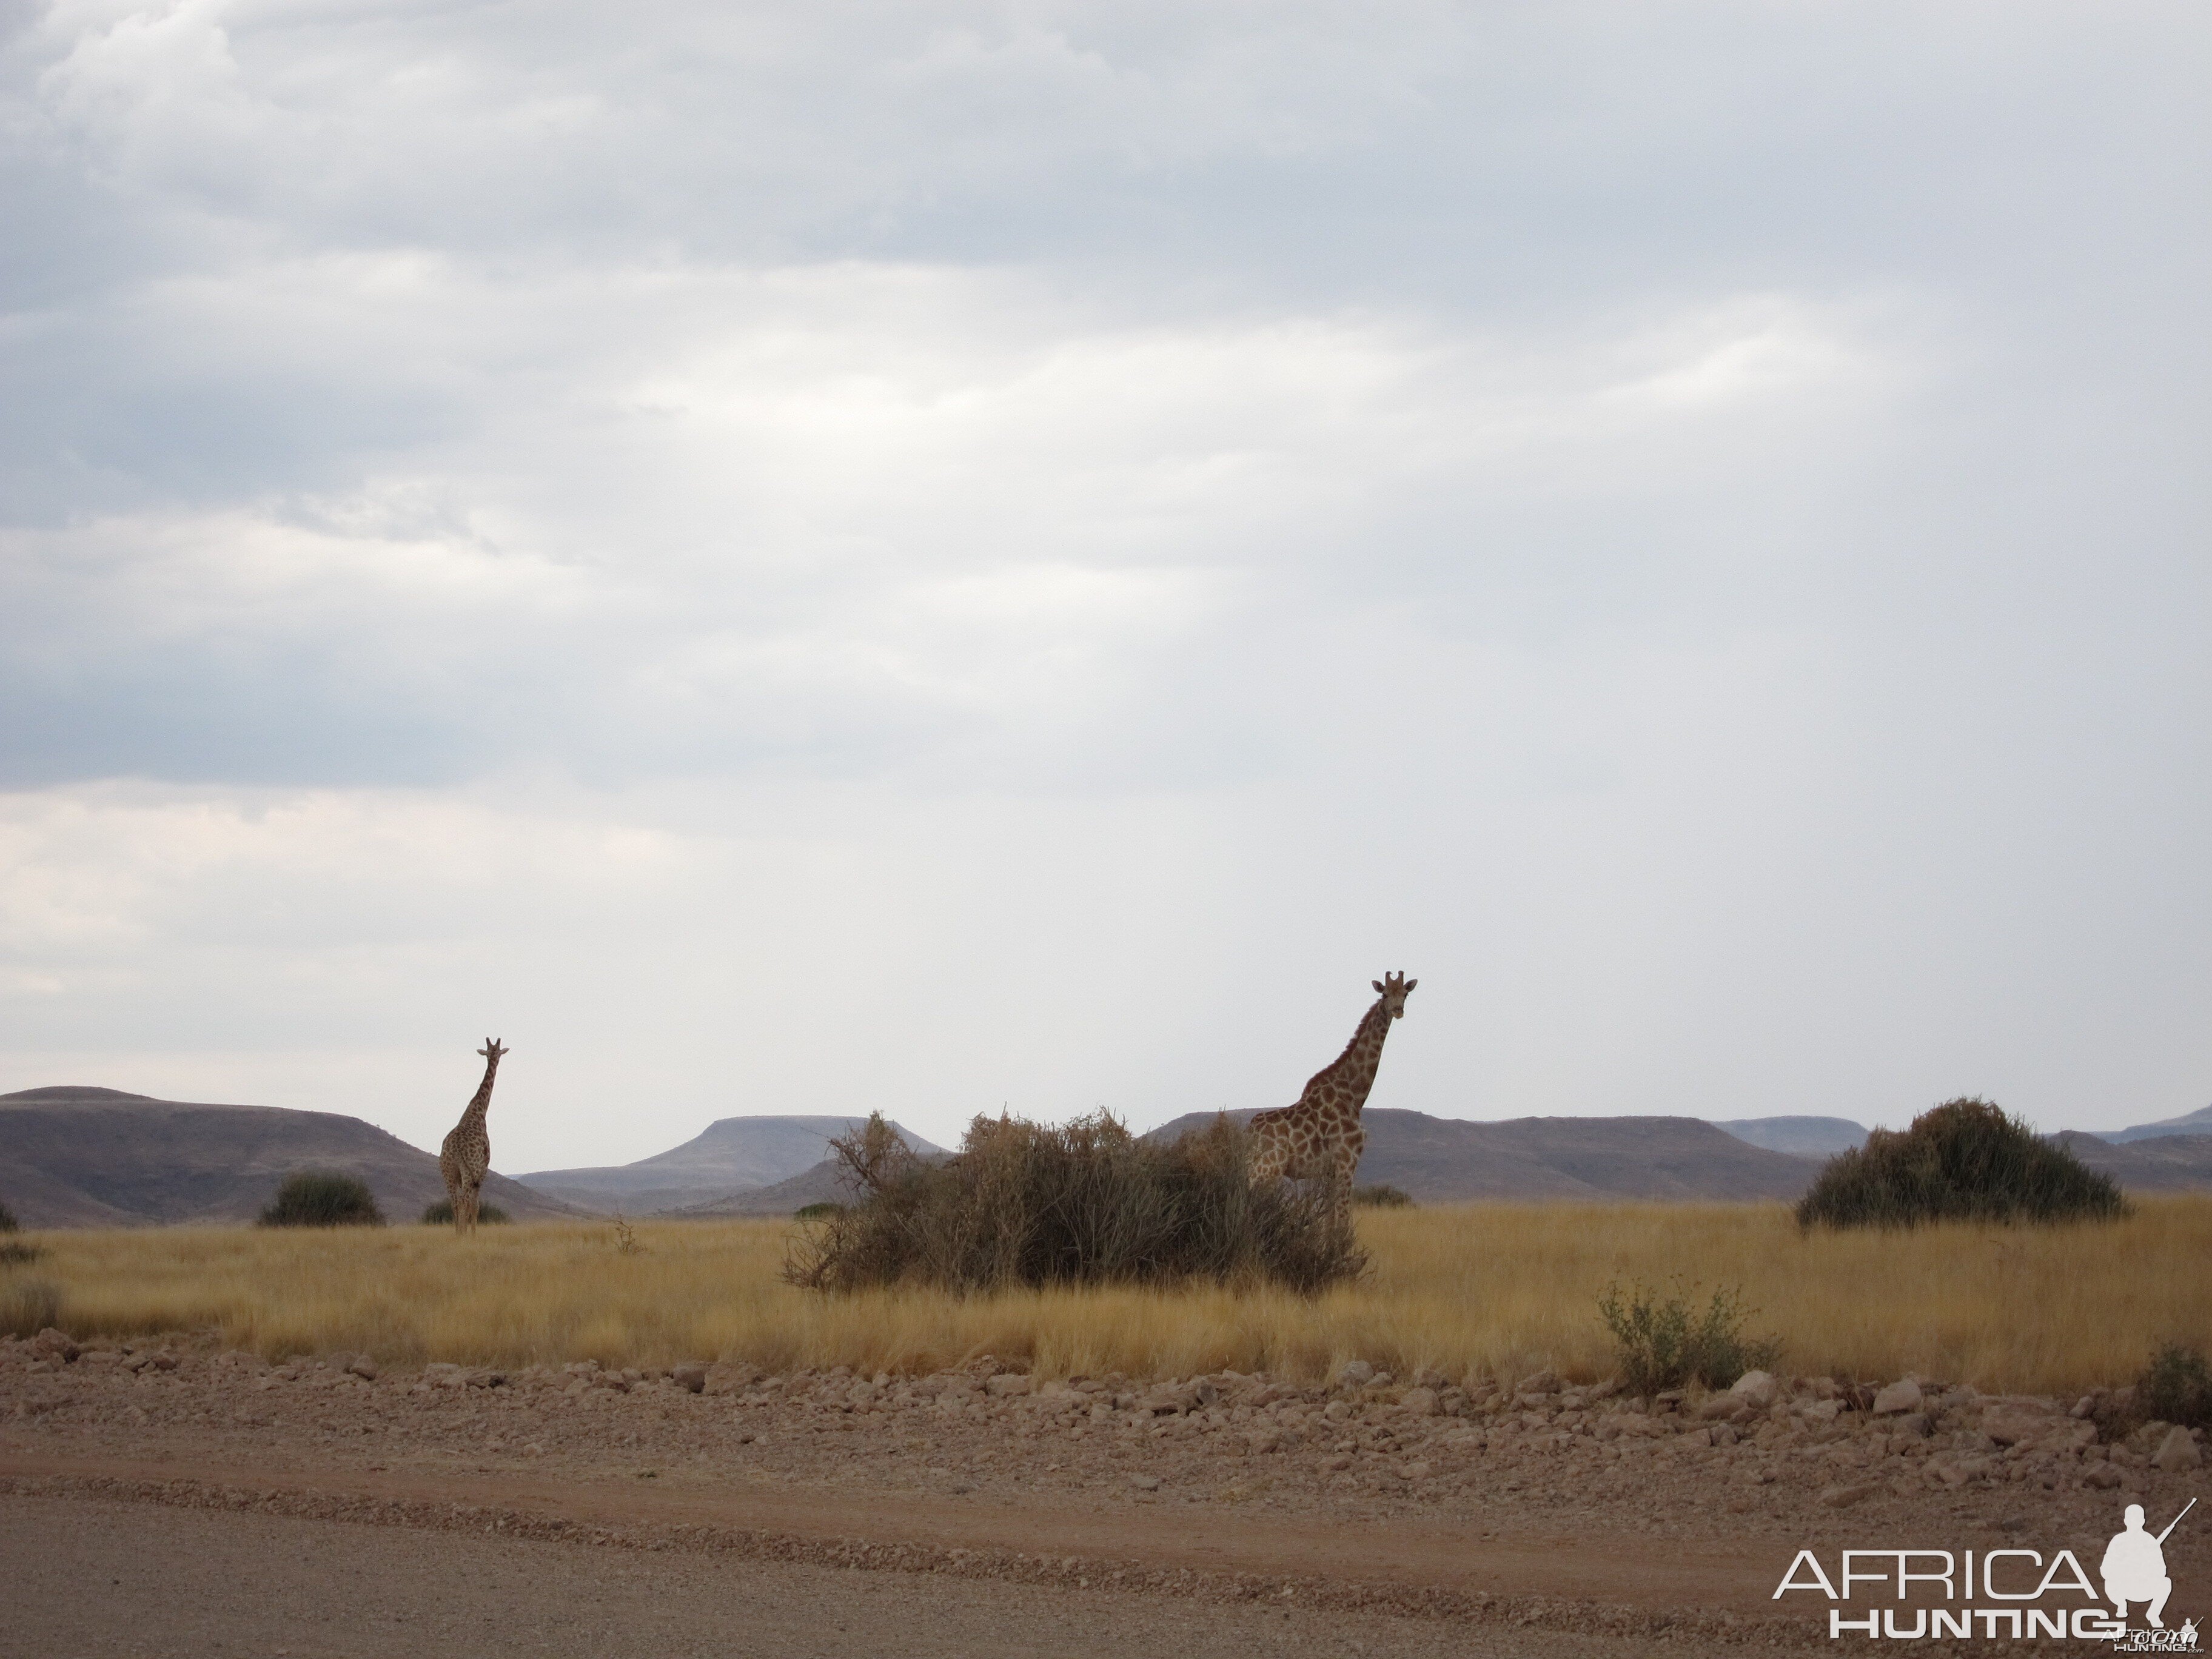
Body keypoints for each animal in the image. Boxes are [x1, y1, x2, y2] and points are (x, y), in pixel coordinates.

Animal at [440, 1044, 509, 1238]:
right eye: (497, 1053)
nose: (495, 1059)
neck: (479, 1112)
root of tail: (455, 1149)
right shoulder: (482, 1170)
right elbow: (476, 1205)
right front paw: (473, 1234)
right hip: (468, 1171)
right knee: (464, 1200)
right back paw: (463, 1234)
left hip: (448, 1172)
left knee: (454, 1201)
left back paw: (457, 1234)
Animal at [1247, 973, 1415, 1238]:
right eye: (1385, 994)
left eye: (1406, 994)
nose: (1398, 1010)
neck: (1354, 1094)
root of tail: (1249, 1133)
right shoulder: (1347, 1161)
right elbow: (1344, 1222)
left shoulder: (1330, 1171)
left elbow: (1329, 1223)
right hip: (1267, 1169)